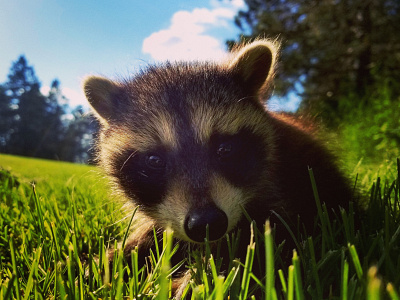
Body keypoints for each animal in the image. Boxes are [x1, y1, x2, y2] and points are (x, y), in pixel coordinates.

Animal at [83, 39, 352, 290]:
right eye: (154, 161)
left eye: (225, 149)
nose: (206, 224)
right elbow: (153, 235)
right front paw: (110, 261)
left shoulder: (285, 189)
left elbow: (269, 244)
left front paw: (197, 281)